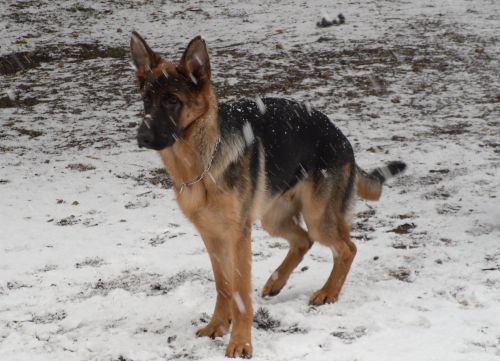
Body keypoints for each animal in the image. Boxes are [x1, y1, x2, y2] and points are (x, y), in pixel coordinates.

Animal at [130, 33, 406, 358]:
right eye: (146, 100)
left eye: (172, 100)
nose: (142, 137)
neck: (202, 162)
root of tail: (341, 136)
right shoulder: (212, 237)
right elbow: (223, 286)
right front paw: (217, 326)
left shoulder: (238, 236)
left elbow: (240, 294)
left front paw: (240, 342)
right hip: (274, 219)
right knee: (303, 240)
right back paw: (276, 282)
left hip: (317, 217)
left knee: (346, 248)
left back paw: (328, 292)